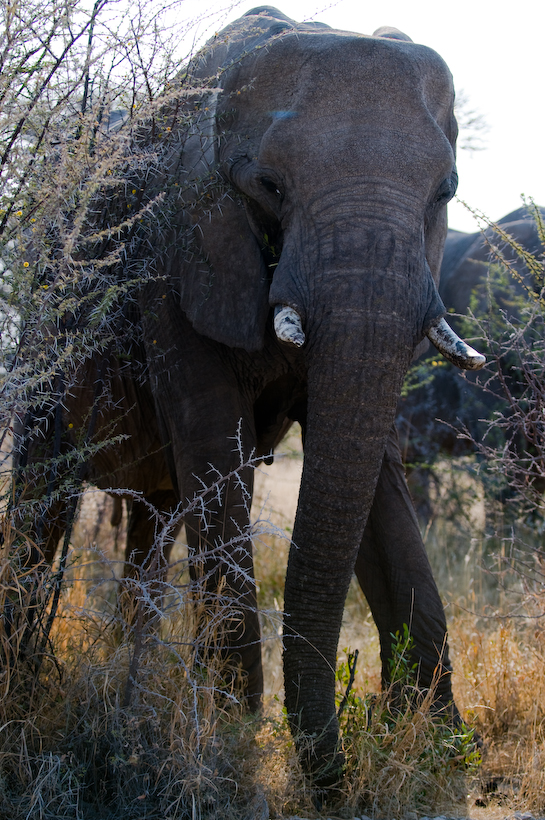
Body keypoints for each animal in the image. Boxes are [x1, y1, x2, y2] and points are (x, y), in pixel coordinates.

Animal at [9, 6, 484, 788]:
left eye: (443, 191)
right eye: (268, 186)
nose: (335, 774)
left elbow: (373, 476)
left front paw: (440, 746)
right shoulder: (177, 249)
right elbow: (215, 452)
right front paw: (231, 742)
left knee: (154, 523)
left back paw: (127, 686)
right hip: (46, 325)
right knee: (41, 497)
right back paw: (29, 687)